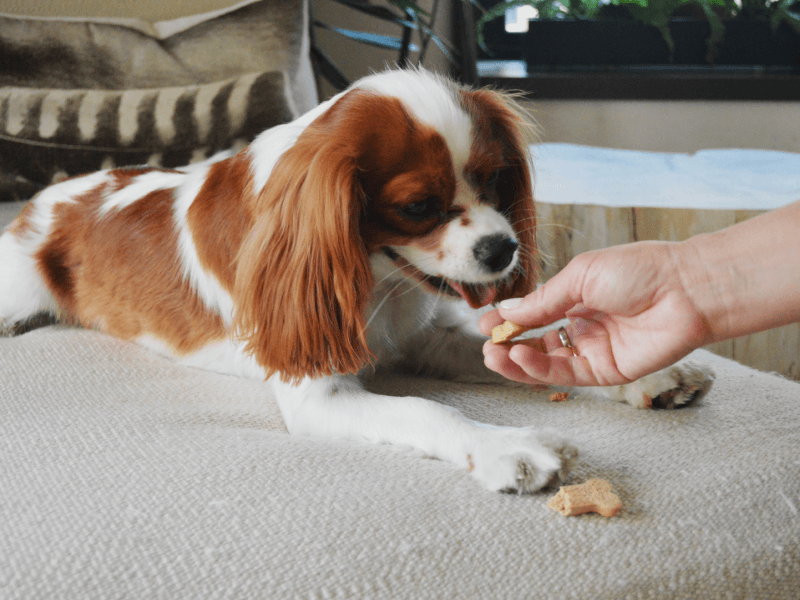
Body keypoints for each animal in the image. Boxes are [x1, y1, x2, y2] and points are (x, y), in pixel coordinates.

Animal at [0, 69, 712, 492]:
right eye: (418, 206)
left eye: (493, 178)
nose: (503, 247)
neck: (380, 280)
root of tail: (42, 201)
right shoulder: (319, 392)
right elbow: (428, 409)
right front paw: (507, 445)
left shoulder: (432, 339)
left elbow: (534, 343)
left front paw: (647, 373)